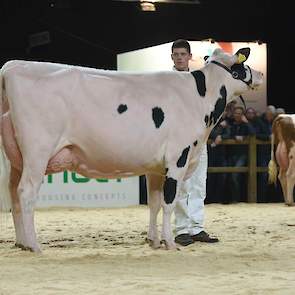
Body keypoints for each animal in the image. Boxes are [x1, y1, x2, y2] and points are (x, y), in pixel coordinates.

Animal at [0, 48, 264, 252]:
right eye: (241, 65)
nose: (261, 74)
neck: (199, 97)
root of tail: (13, 66)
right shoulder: (178, 158)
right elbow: (169, 203)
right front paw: (170, 243)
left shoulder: (155, 167)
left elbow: (154, 203)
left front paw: (153, 241)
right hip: (37, 152)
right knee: (26, 192)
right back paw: (34, 245)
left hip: (16, 158)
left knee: (13, 193)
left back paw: (21, 243)